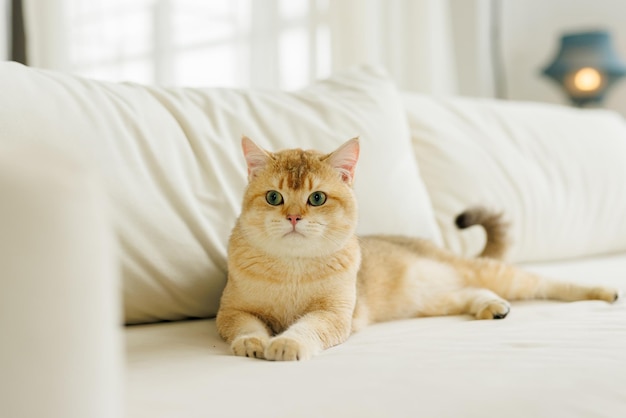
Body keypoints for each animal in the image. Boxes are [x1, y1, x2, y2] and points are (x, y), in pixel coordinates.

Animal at [216, 136, 620, 360]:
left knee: (544, 282)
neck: (292, 267)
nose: (294, 217)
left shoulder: (334, 314)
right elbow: (244, 325)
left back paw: (603, 291)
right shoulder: (233, 310)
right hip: (429, 299)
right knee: (469, 292)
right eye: (274, 197)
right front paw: (253, 342)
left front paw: (286, 344)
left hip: (496, 275)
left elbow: (306, 328)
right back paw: (490, 307)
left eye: (317, 198)